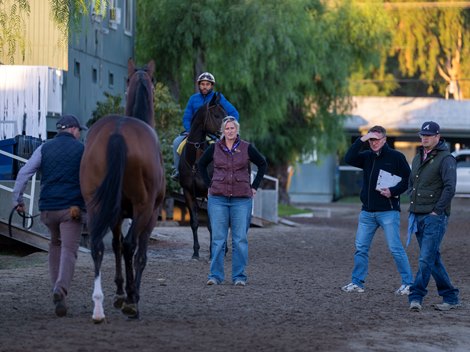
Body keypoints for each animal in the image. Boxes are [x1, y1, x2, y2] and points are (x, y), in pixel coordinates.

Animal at [79, 59, 163, 322]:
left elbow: (114, 245)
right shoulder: (151, 214)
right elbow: (138, 254)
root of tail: (117, 133)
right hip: (143, 209)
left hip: (96, 205)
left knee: (98, 245)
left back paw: (98, 306)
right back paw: (132, 302)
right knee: (129, 245)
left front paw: (118, 292)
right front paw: (130, 296)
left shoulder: (115, 213)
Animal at [177, 93, 227, 258]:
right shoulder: (187, 192)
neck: (195, 161)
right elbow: (194, 222)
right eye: (217, 115)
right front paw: (195, 252)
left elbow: (212, 225)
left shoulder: (210, 193)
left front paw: (213, 252)